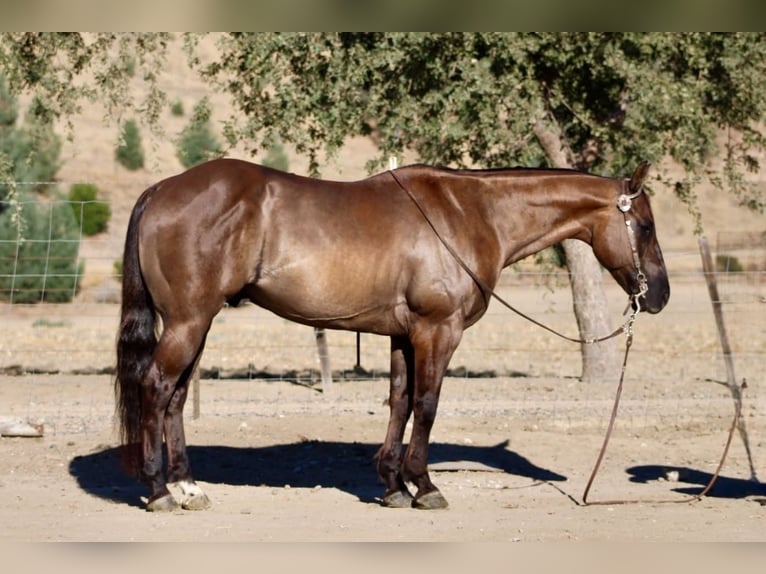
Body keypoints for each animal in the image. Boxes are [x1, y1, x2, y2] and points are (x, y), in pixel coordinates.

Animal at [114, 158, 669, 511]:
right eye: (644, 226)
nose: (658, 295)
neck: (470, 213)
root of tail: (161, 189)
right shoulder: (438, 331)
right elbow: (427, 404)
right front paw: (424, 485)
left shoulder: (405, 335)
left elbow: (400, 402)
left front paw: (393, 485)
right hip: (188, 322)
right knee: (156, 389)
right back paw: (159, 491)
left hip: (197, 323)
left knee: (175, 398)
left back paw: (187, 488)